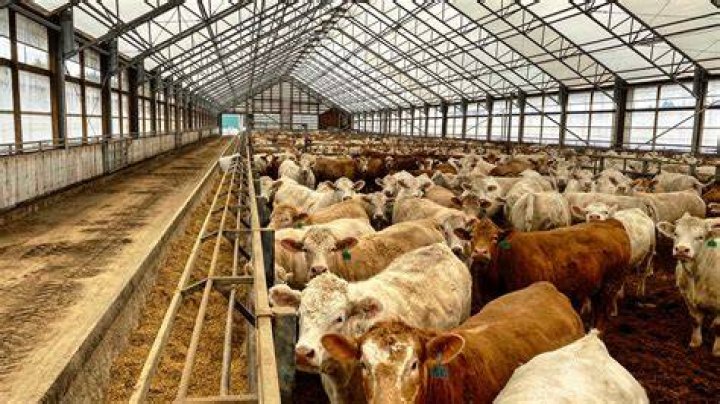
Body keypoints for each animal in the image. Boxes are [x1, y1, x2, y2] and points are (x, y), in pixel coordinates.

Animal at [466, 219, 632, 330]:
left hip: (609, 288)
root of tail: (611, 223)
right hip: (595, 292)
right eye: (471, 236)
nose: (480, 252)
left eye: (494, 238)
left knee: (601, 319)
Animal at [656, 214, 720, 356]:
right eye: (676, 234)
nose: (681, 249)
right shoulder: (687, 297)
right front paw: (695, 343)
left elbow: (718, 326)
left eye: (700, 237)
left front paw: (717, 351)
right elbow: (695, 320)